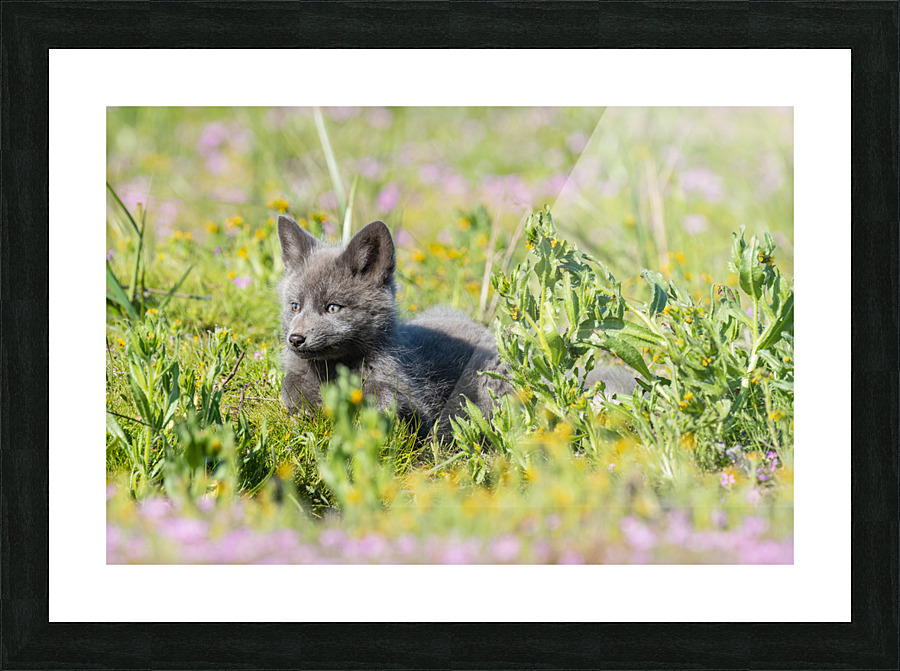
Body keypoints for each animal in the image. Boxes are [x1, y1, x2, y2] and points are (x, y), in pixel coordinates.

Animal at [277, 215, 636, 439]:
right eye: (294, 306)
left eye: (332, 307)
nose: (295, 339)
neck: (334, 374)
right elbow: (289, 386)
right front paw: (305, 407)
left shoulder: (416, 402)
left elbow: (385, 398)